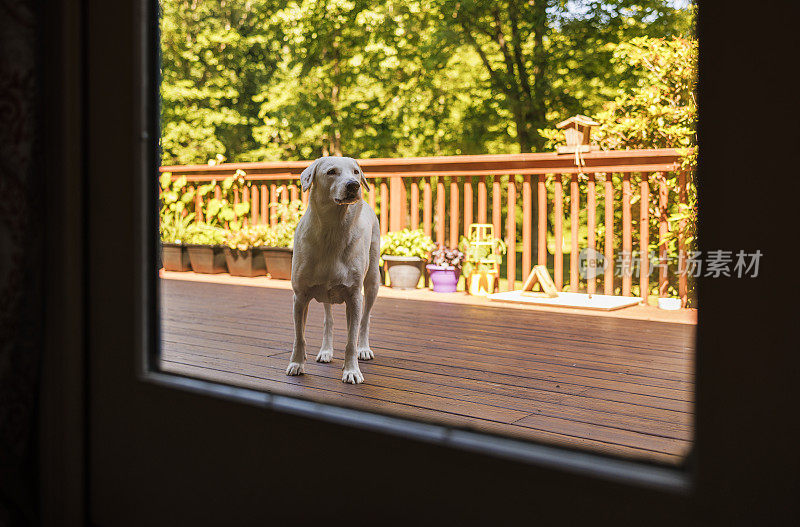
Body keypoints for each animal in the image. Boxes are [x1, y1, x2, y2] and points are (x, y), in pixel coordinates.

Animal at [286, 157, 380, 384]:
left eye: (356, 172)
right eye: (331, 172)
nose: (354, 186)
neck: (333, 230)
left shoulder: (354, 297)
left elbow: (351, 340)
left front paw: (352, 371)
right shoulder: (299, 296)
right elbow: (299, 336)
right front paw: (297, 363)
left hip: (373, 281)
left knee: (365, 320)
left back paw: (364, 348)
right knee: (328, 319)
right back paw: (326, 351)